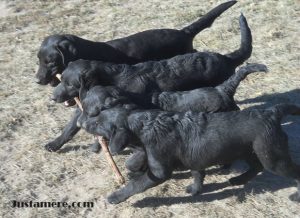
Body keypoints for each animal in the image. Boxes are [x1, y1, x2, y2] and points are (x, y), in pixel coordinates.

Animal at [77, 103, 300, 204]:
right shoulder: (192, 158)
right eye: (98, 115)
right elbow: (197, 173)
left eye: (98, 123)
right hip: (252, 150)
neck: (144, 125)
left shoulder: (160, 171)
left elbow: (136, 184)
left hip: (273, 157)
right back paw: (238, 180)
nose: (81, 122)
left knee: (288, 170)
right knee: (256, 166)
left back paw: (296, 195)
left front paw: (116, 196)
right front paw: (195, 189)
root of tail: (272, 112)